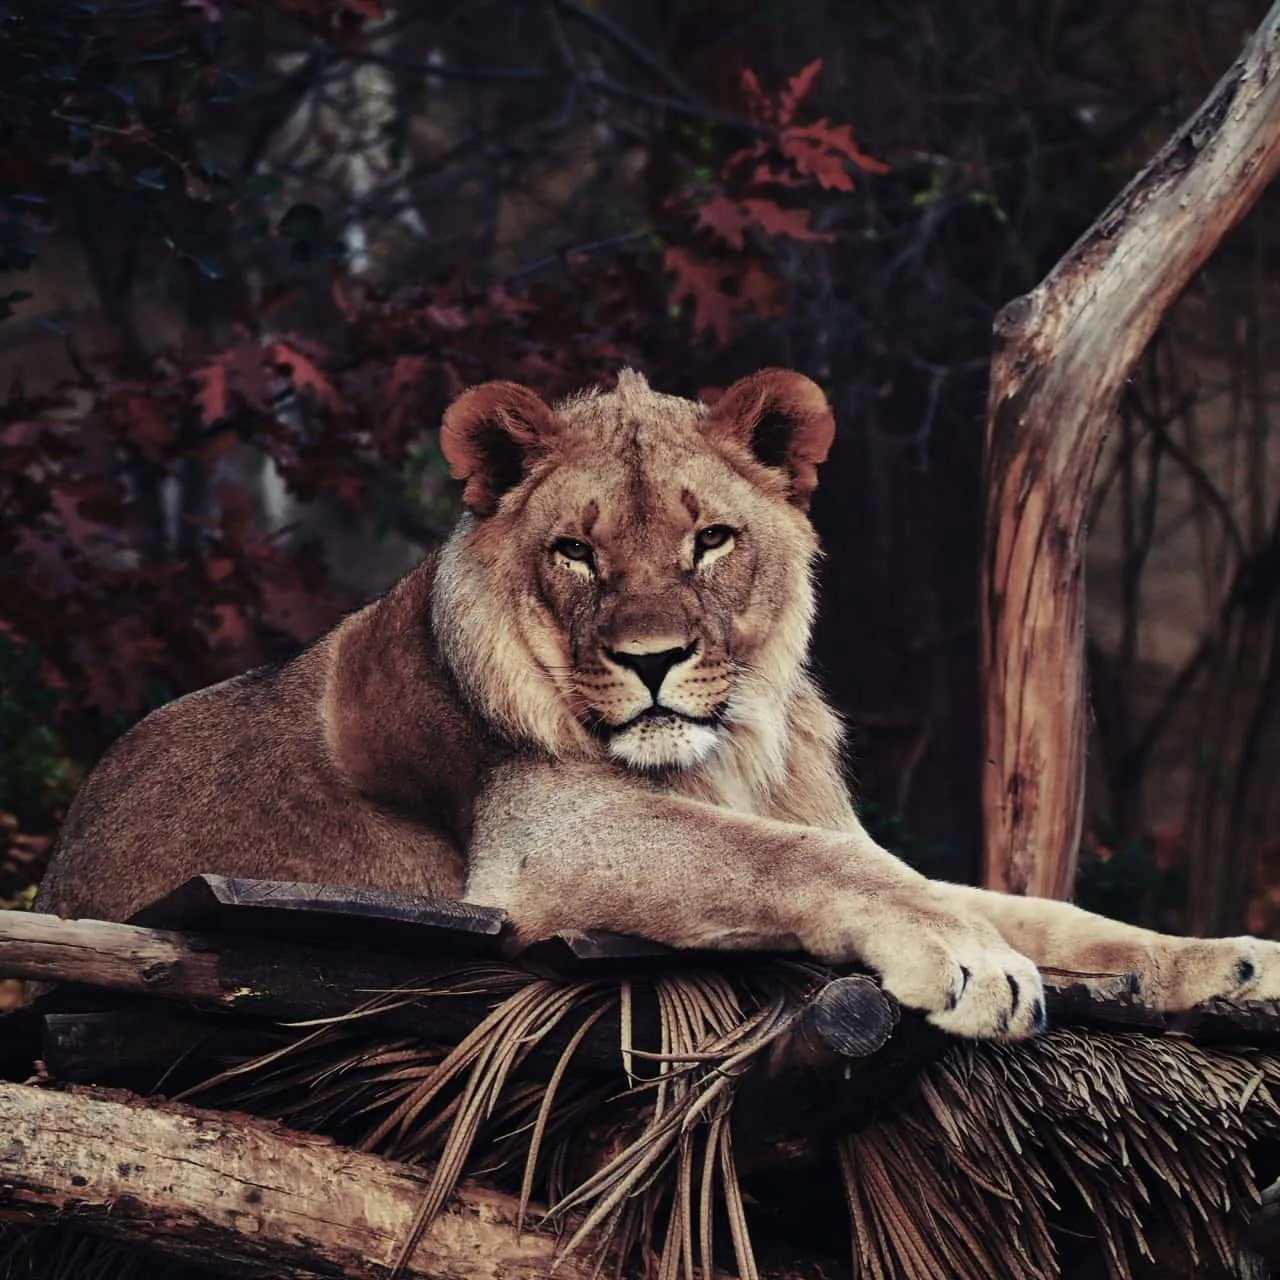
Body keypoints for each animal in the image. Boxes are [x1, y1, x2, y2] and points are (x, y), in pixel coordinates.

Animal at [36, 368, 1280, 1040]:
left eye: (710, 538)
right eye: (575, 553)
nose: (650, 660)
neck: (729, 752)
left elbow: (1030, 905)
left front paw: (1225, 960)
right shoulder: (544, 842)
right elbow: (808, 862)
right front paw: (967, 958)